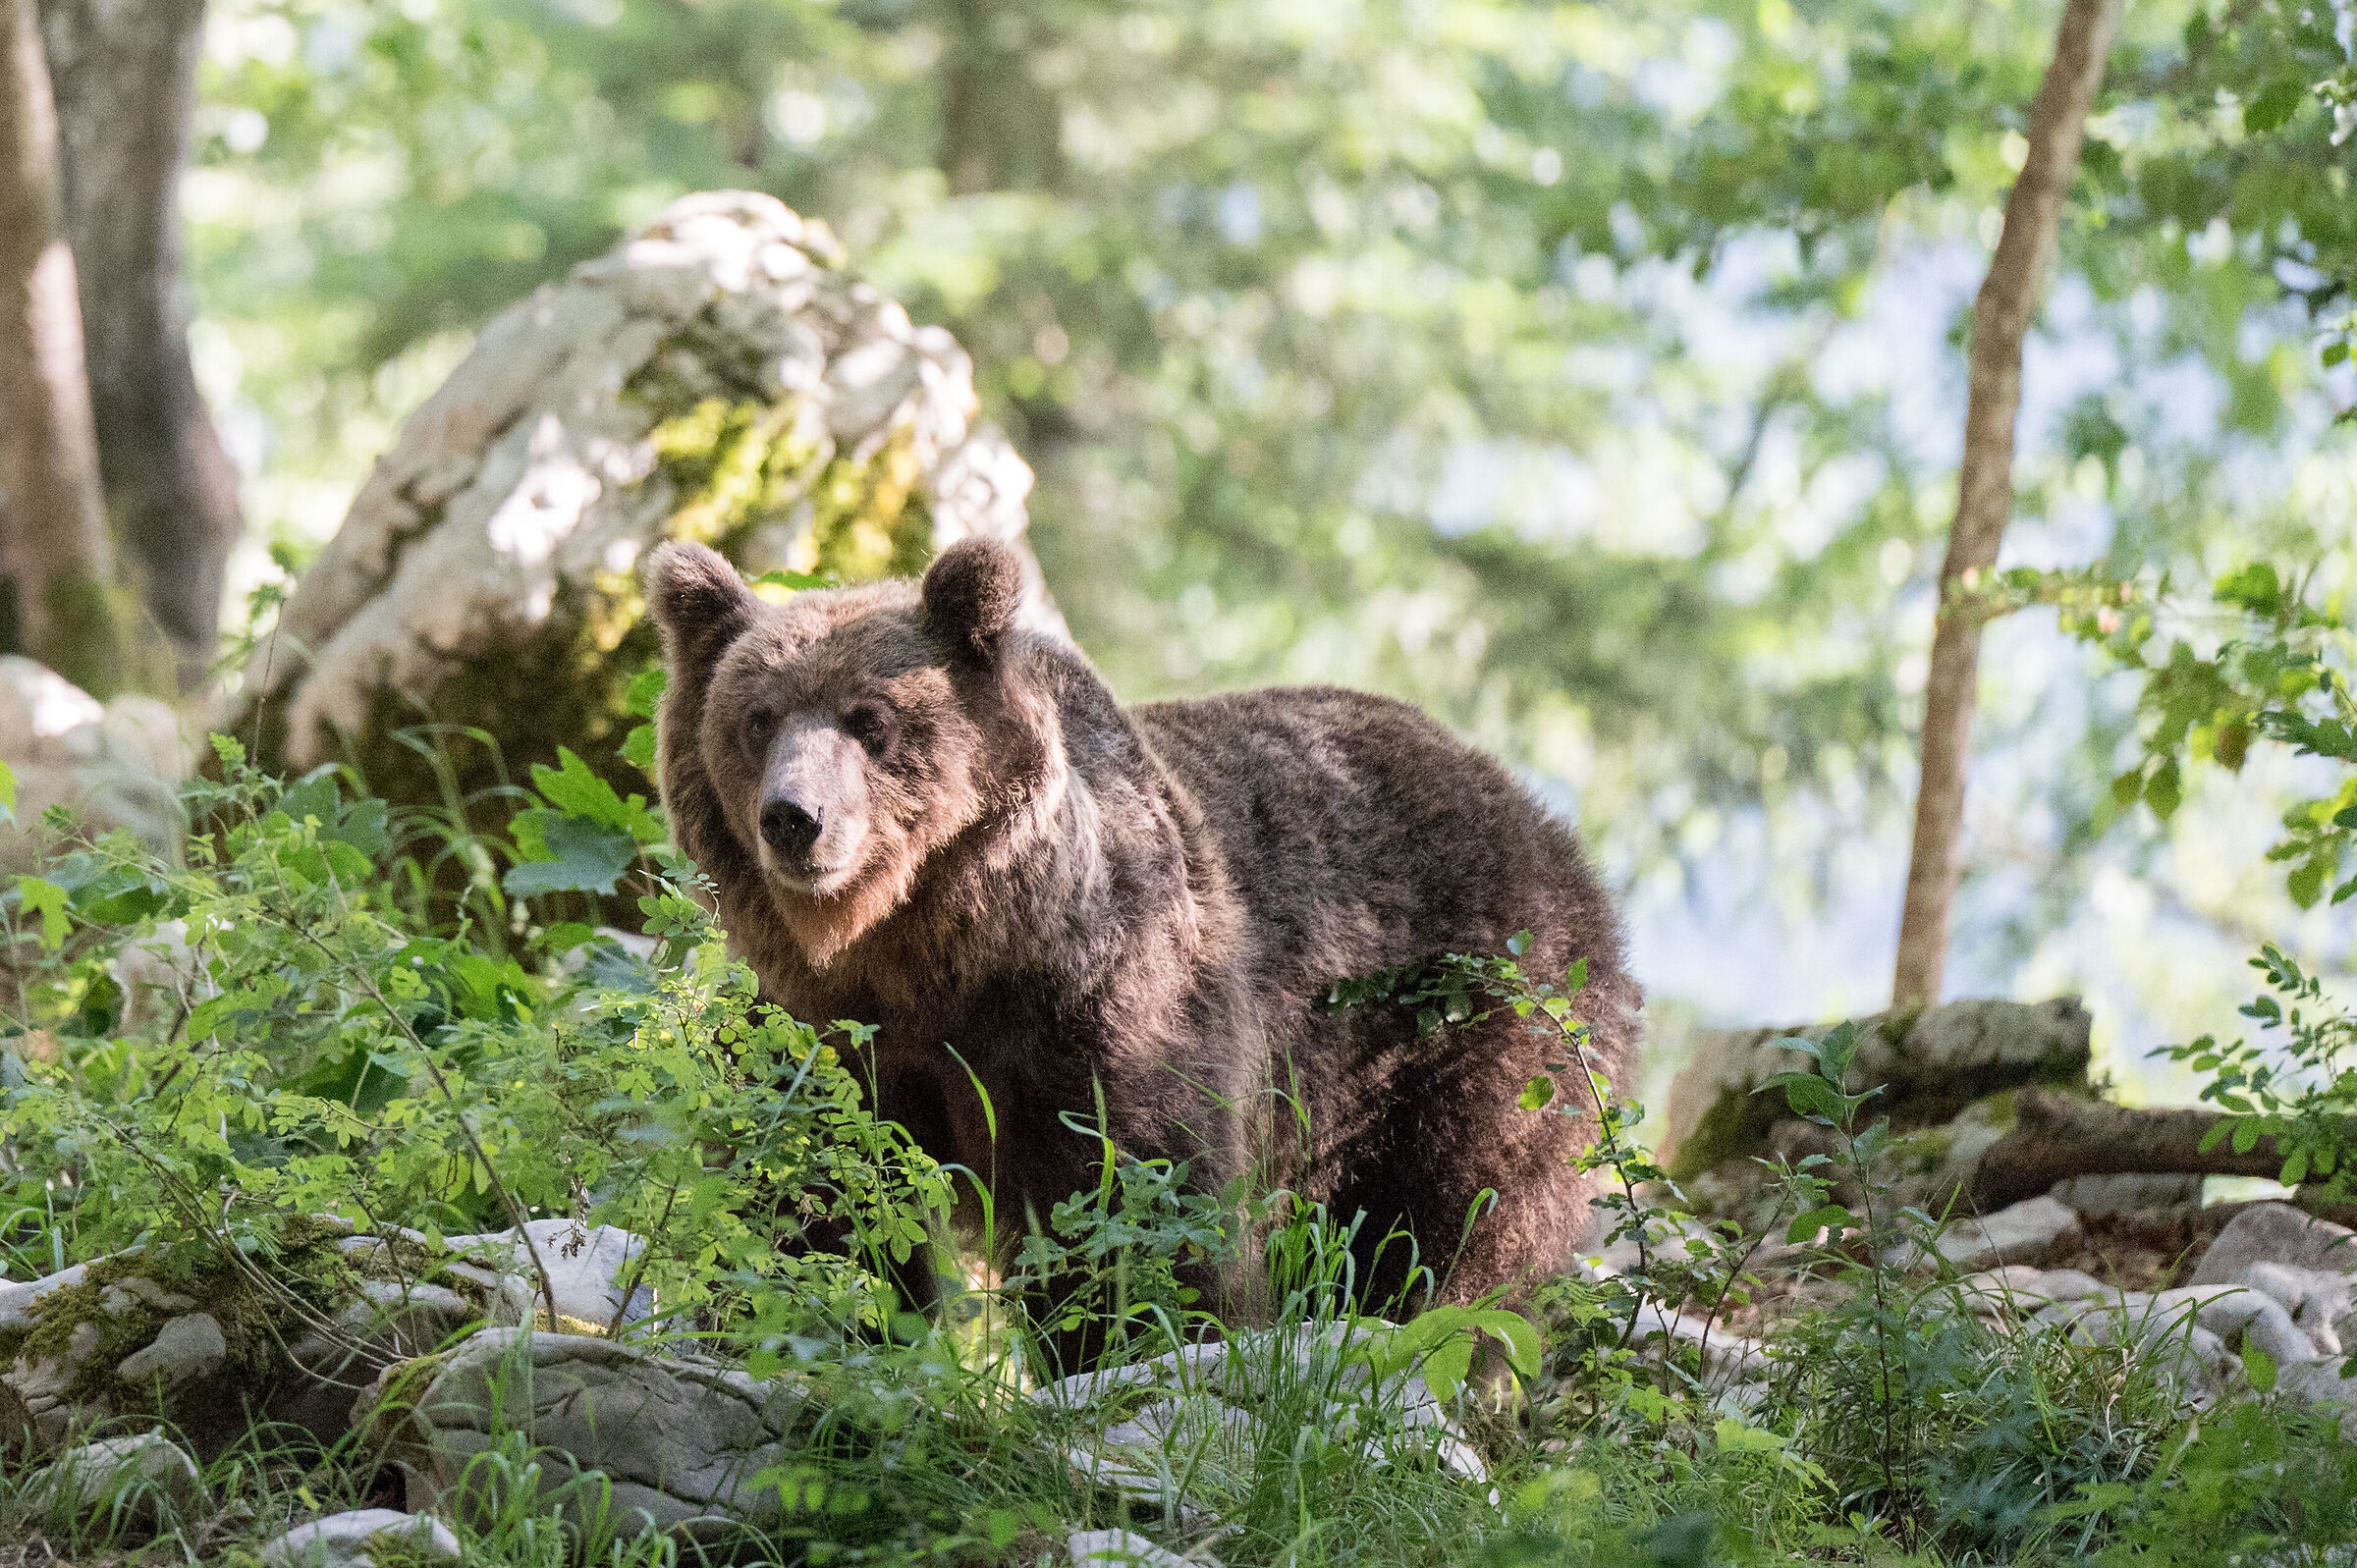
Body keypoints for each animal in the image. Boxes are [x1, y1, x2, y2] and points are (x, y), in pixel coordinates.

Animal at [643, 536, 1642, 1337]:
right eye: (757, 718)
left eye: (870, 719)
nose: (794, 817)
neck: (927, 952)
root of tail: (1541, 819)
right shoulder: (825, 1029)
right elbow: (816, 1192)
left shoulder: (1100, 1006)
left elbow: (1127, 1197)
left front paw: (1131, 1341)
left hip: (1470, 1024)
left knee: (1453, 1218)